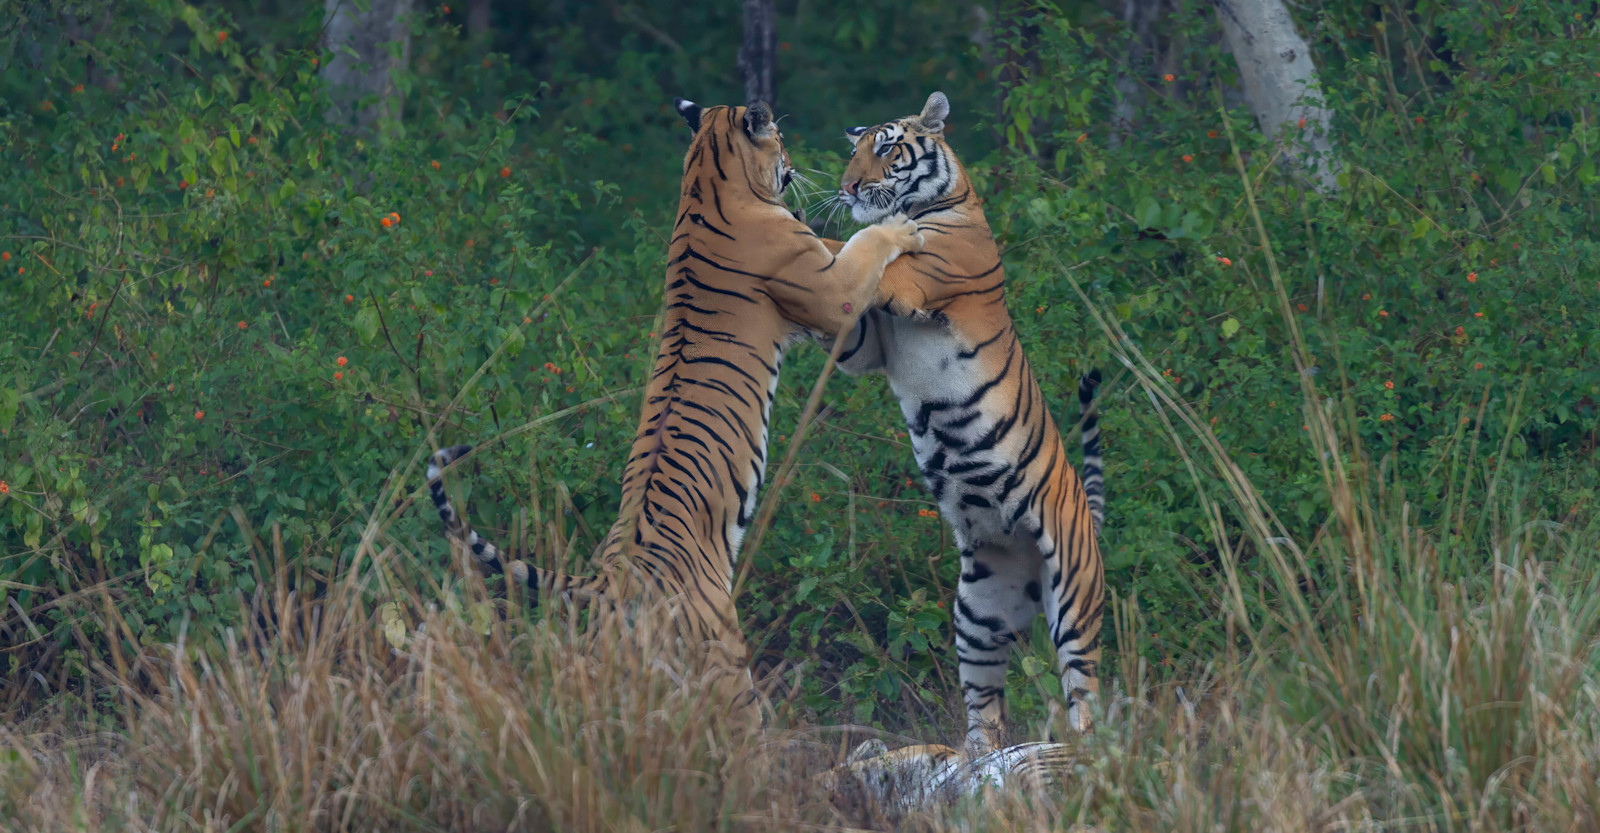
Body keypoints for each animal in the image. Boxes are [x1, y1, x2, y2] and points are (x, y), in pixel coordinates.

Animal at [424, 98, 924, 730]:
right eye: (781, 140)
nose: (796, 164)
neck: (707, 177)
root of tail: (612, 578)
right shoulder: (831, 292)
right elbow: (864, 247)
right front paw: (899, 226)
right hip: (725, 660)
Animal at [818, 91, 1107, 750]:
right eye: (854, 150)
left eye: (886, 148)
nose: (848, 188)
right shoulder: (866, 342)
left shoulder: (913, 280)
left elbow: (856, 251)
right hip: (978, 608)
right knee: (986, 699)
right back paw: (974, 755)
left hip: (1073, 600)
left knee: (1085, 689)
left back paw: (1086, 745)